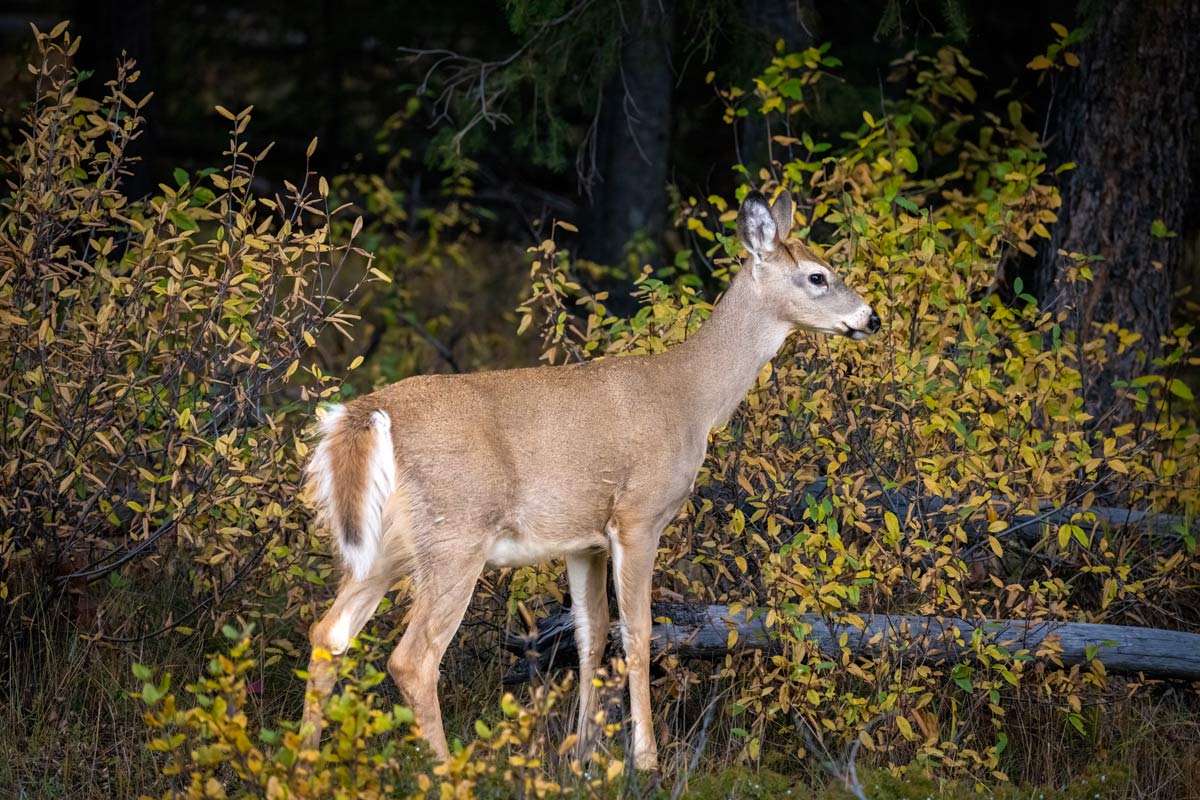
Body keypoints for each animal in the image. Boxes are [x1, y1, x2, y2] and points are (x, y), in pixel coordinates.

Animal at [299, 189, 880, 772]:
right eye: (818, 276)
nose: (870, 318)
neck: (691, 398)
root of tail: (367, 415)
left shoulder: (583, 540)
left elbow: (592, 635)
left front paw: (581, 755)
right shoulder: (638, 515)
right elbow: (639, 634)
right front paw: (645, 760)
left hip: (386, 545)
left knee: (328, 633)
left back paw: (301, 764)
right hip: (456, 532)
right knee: (412, 658)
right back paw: (447, 770)